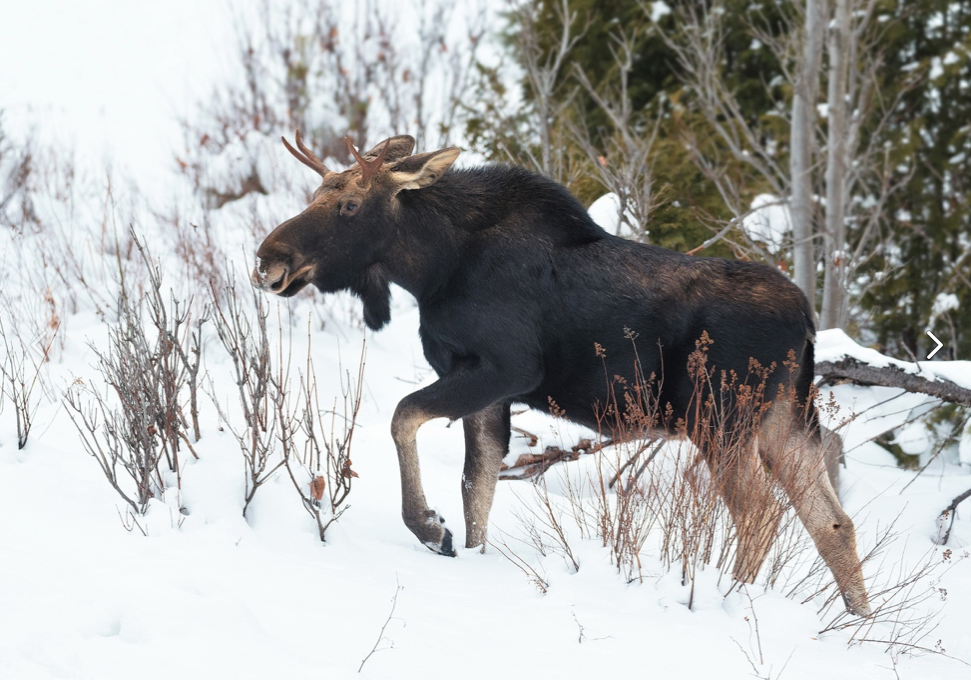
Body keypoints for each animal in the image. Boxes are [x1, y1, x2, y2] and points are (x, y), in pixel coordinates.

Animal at [252, 131, 872, 616]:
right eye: (316, 195)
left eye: (350, 206)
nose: (268, 258)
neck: (431, 268)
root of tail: (807, 322)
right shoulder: (488, 389)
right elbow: (477, 487)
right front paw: (463, 546)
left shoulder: (504, 367)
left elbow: (405, 419)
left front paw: (431, 528)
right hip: (785, 418)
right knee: (833, 523)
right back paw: (857, 624)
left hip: (721, 419)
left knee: (760, 514)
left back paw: (732, 601)